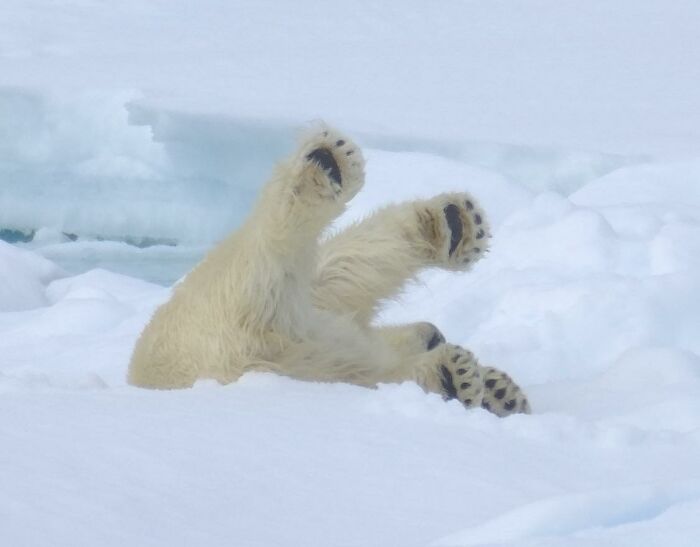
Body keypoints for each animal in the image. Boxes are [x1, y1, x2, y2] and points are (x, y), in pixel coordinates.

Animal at [128, 125, 530, 417]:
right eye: (434, 337)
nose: (435, 333)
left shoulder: (320, 317)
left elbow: (345, 272)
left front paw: (500, 389)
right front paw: (464, 378)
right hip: (218, 318)